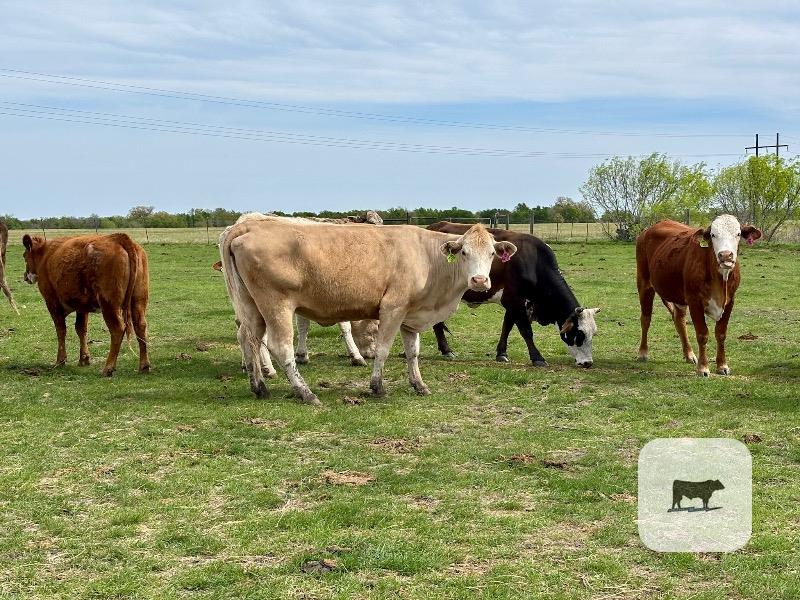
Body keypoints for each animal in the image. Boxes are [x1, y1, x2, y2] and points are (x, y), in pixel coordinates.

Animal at [22, 233, 150, 375]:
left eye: (24, 256)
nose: (25, 276)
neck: (45, 254)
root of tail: (119, 238)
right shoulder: (81, 306)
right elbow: (81, 329)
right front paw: (84, 358)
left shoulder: (52, 302)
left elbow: (61, 330)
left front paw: (60, 360)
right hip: (138, 300)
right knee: (141, 326)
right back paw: (144, 366)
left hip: (109, 304)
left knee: (118, 329)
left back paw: (108, 367)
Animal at [220, 221, 516, 405]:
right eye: (464, 252)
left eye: (491, 253)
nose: (480, 280)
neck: (427, 257)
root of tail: (248, 225)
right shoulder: (392, 308)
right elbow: (383, 349)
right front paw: (377, 386)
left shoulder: (410, 316)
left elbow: (413, 352)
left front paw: (419, 385)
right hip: (276, 304)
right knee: (281, 347)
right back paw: (306, 393)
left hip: (251, 307)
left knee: (249, 339)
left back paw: (259, 387)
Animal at [426, 222, 599, 368]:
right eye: (579, 334)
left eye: (593, 334)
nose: (587, 363)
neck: (533, 262)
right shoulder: (516, 301)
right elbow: (526, 331)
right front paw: (537, 358)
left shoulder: (513, 303)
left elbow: (507, 327)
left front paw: (502, 353)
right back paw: (446, 350)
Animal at [636, 215, 761, 376]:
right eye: (713, 235)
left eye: (738, 234)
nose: (725, 255)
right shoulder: (694, 300)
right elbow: (702, 334)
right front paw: (703, 368)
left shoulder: (730, 301)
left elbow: (721, 333)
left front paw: (722, 365)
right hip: (644, 284)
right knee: (645, 319)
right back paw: (643, 353)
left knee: (679, 321)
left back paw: (689, 355)